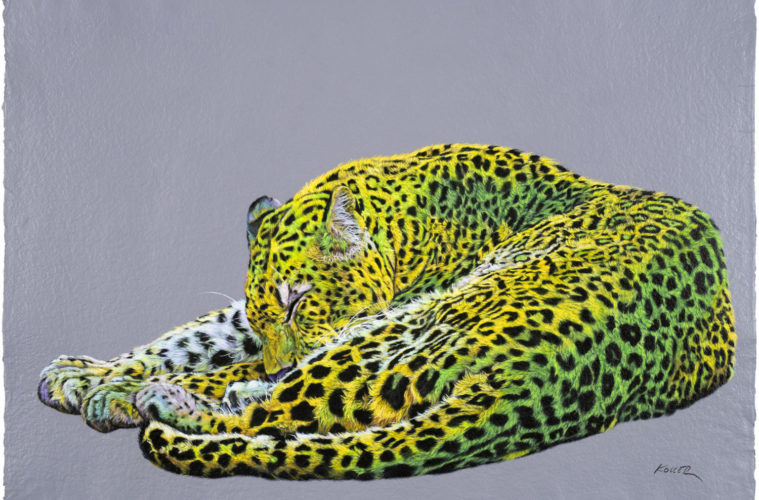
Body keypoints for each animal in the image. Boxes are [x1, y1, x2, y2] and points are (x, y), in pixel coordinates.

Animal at [39, 143, 736, 479]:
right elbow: (194, 336)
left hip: (415, 323)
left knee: (277, 410)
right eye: (267, 310)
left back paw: (165, 401)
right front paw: (83, 372)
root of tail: (538, 385)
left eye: (299, 300)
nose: (274, 359)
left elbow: (216, 360)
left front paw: (113, 389)